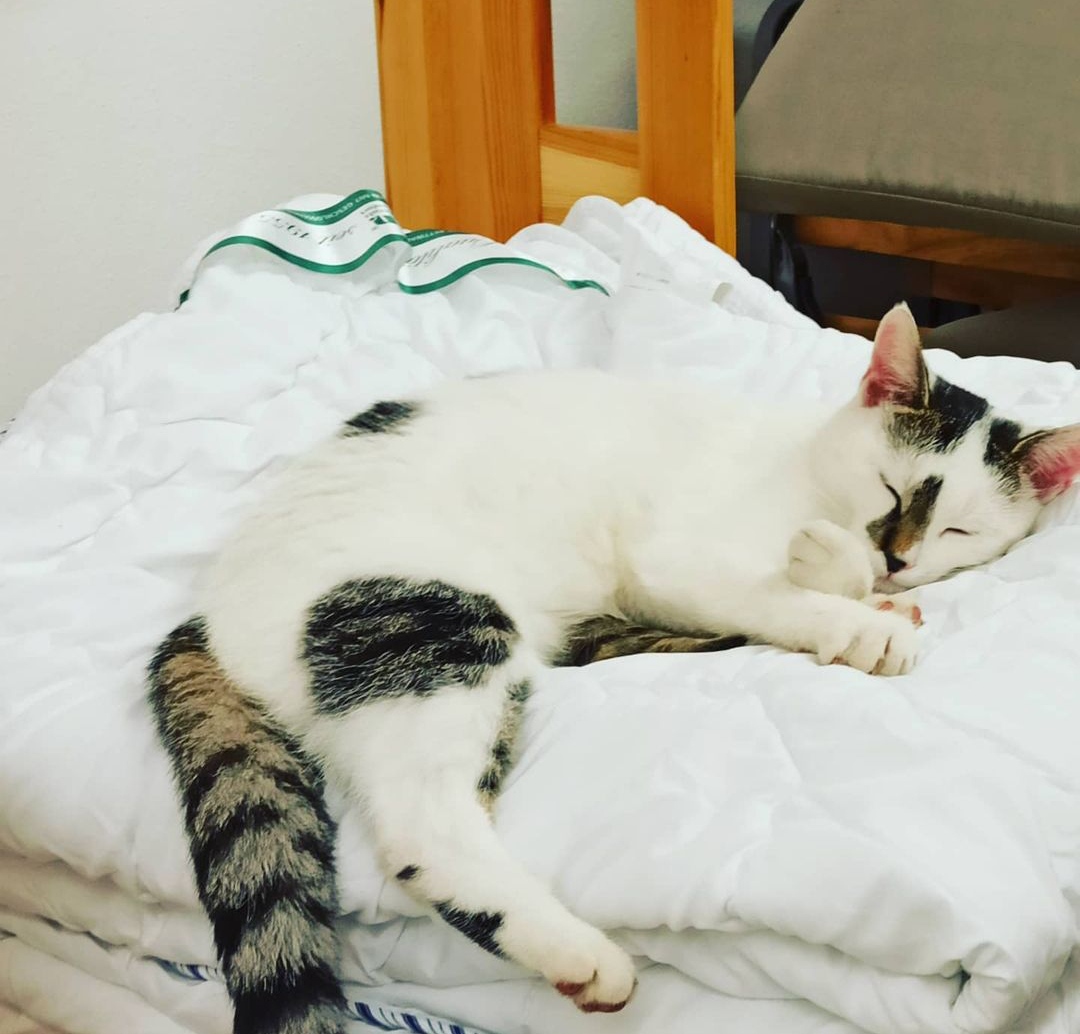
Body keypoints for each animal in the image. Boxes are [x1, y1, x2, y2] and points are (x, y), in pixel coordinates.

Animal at [147, 302, 1080, 1034]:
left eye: (959, 530)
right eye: (889, 485)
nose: (898, 556)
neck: (804, 471)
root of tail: (208, 609)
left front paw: (873, 597)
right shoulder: (684, 558)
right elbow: (791, 587)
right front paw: (856, 609)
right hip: (436, 620)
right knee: (422, 833)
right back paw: (580, 954)